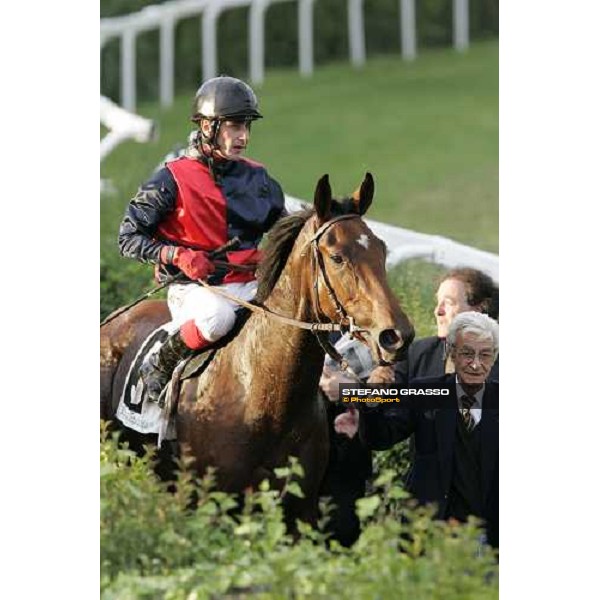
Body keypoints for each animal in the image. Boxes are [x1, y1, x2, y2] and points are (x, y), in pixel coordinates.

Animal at [101, 172, 414, 524]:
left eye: (382, 250)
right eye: (338, 257)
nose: (395, 335)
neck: (261, 391)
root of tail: (113, 319)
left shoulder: (300, 510)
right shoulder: (210, 504)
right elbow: (131, 233)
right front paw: (190, 260)